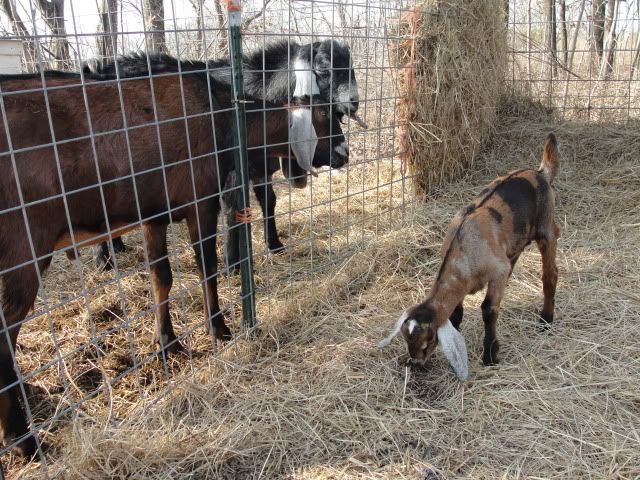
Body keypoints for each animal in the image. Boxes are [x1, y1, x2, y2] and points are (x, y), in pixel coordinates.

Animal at [0, 56, 348, 457]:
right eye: (324, 113)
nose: (344, 153)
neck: (225, 116)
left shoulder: (154, 214)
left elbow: (161, 277)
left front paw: (167, 342)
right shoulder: (200, 201)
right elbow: (207, 268)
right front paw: (219, 328)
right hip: (24, 245)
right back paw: (22, 438)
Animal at [85, 40, 360, 270]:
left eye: (351, 66)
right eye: (323, 68)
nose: (354, 101)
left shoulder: (260, 167)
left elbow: (268, 202)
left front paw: (274, 245)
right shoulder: (231, 170)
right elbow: (232, 208)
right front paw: (232, 262)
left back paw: (118, 245)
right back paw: (103, 260)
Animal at [378, 134, 560, 381]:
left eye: (428, 341)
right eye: (406, 341)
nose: (416, 364)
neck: (463, 249)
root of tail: (540, 173)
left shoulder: (497, 270)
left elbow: (488, 310)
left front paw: (490, 356)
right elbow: (457, 312)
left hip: (546, 227)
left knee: (550, 274)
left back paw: (546, 319)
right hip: (514, 244)